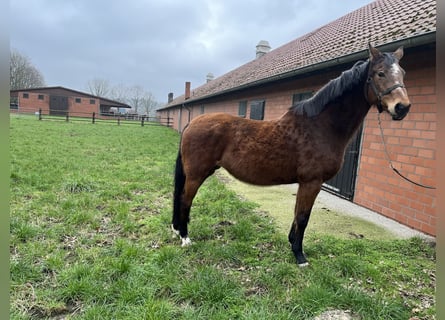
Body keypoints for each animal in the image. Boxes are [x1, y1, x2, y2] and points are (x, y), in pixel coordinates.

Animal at [170, 43, 410, 266]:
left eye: (403, 73)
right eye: (380, 73)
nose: (402, 107)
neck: (320, 126)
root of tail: (192, 123)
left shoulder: (305, 183)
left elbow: (297, 215)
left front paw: (292, 243)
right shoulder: (311, 182)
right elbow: (303, 217)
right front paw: (299, 255)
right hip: (197, 174)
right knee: (185, 199)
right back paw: (185, 237)